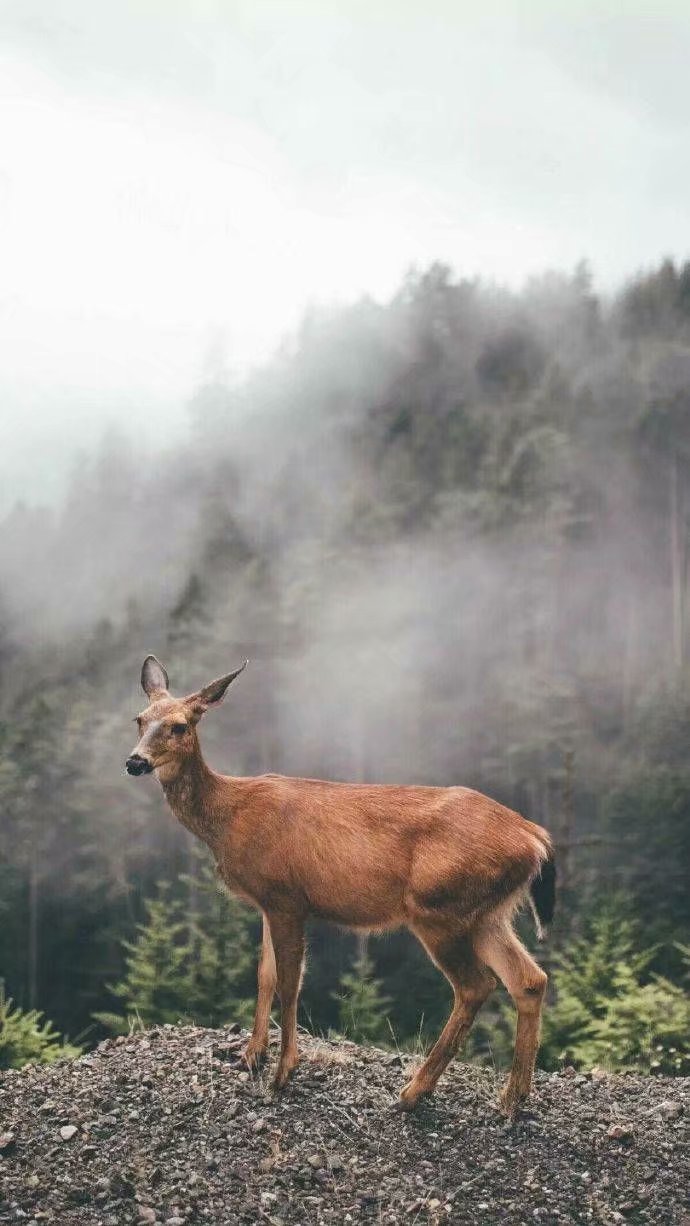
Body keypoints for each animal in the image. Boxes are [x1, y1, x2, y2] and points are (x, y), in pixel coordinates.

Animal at [124, 657, 556, 1118]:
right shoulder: (267, 901)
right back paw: (512, 1096)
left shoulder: (286, 897)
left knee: (476, 986)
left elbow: (289, 982)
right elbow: (264, 974)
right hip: (486, 913)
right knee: (529, 979)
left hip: (439, 906)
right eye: (140, 719)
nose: (135, 762)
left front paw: (284, 1071)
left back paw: (414, 1092)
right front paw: (251, 1056)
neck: (229, 818)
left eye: (179, 725)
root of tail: (535, 838)